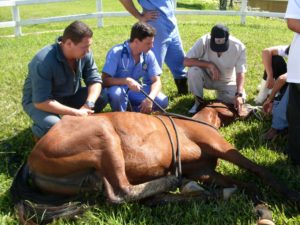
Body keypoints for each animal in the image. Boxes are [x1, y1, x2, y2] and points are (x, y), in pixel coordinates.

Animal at [10, 103, 298, 224]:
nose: (258, 107)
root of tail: (31, 160)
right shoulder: (221, 148)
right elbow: (257, 169)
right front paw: (288, 193)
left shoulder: (206, 172)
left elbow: (242, 181)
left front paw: (259, 202)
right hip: (105, 136)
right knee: (121, 192)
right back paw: (175, 180)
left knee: (145, 198)